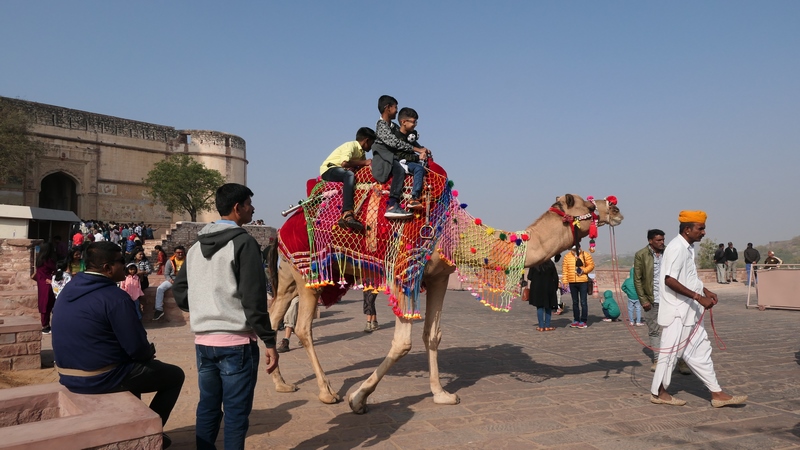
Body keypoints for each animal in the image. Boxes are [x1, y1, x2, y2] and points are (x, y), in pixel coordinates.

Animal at [266, 163, 620, 414]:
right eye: (588, 206)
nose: (615, 208)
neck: (453, 230)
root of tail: (281, 228)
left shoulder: (439, 277)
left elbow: (432, 335)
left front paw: (441, 394)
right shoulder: (404, 271)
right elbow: (403, 343)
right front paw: (358, 398)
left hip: (289, 276)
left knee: (272, 314)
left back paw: (281, 384)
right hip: (308, 274)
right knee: (303, 327)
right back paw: (327, 392)